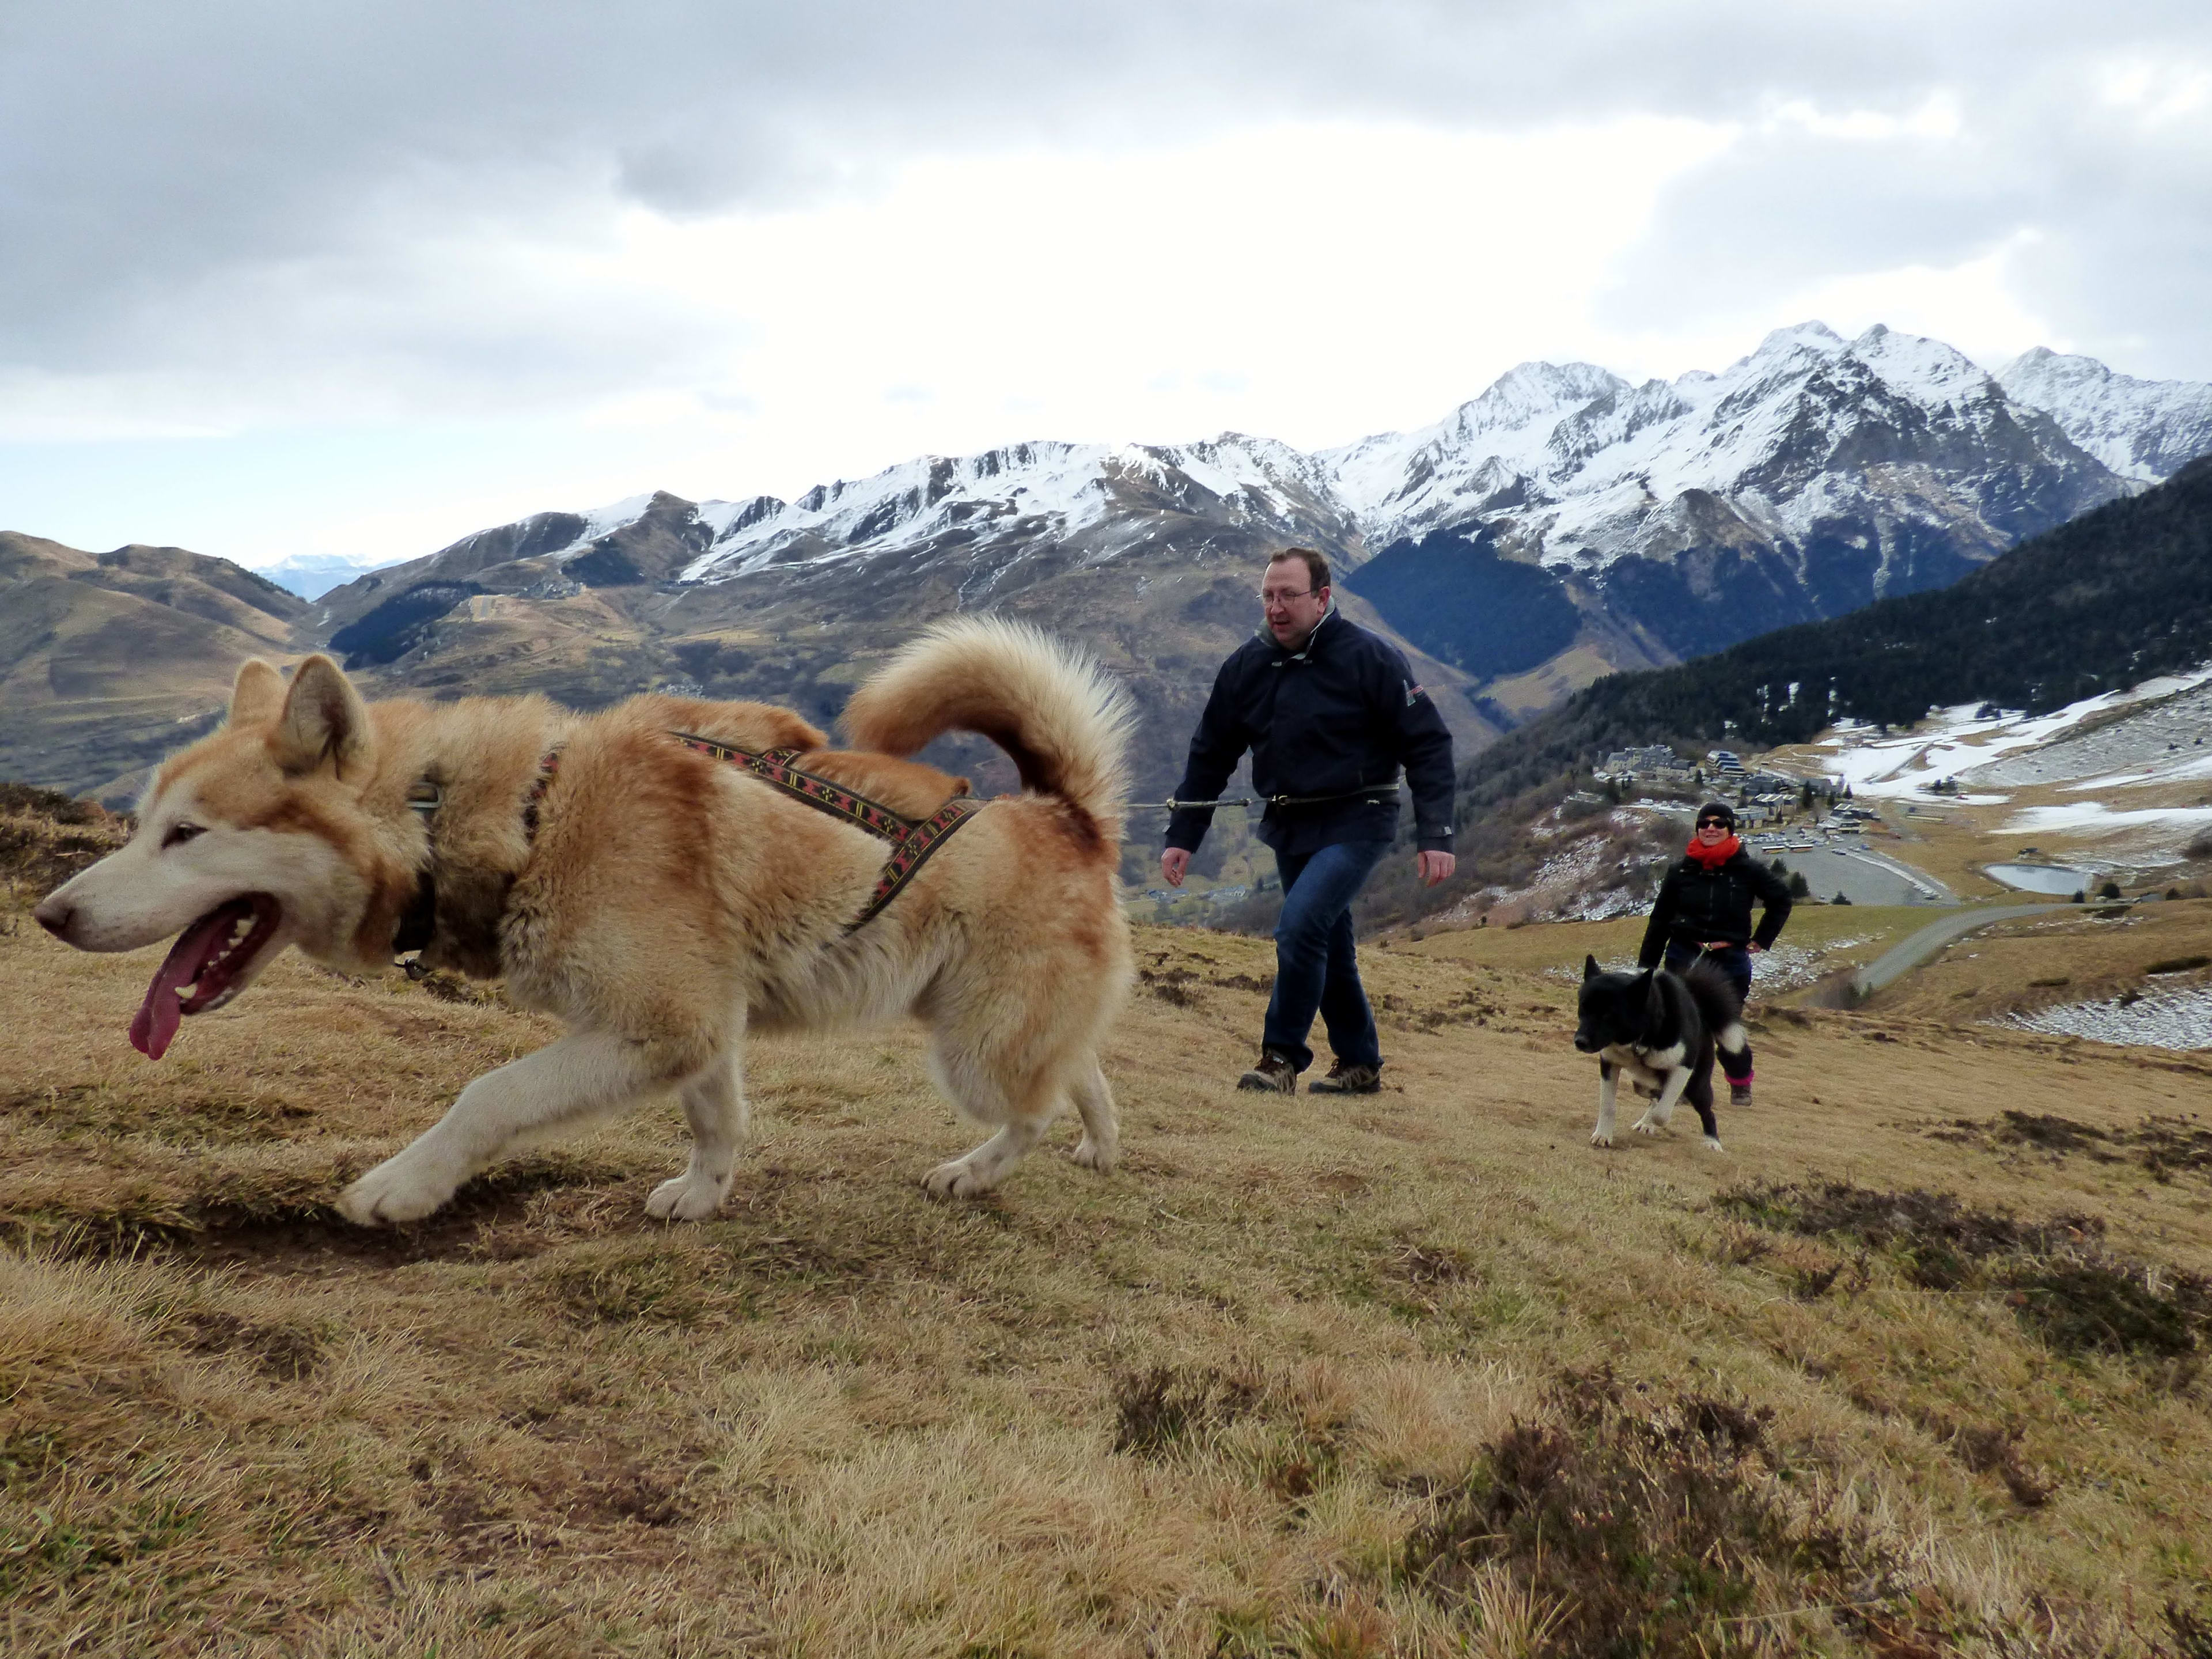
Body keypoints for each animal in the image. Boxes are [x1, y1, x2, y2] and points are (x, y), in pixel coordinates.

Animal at [30, 619, 1141, 1230]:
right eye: (142, 823)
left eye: (187, 834)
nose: (50, 913)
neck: (519, 818)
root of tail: (1066, 813)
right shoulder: (695, 1031)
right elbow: (717, 1121)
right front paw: (703, 1196)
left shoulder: (655, 1024)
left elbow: (486, 1096)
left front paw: (404, 1184)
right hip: (968, 1023)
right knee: (1082, 1069)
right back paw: (1101, 1146)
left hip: (971, 1051)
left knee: (1034, 1105)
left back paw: (976, 1173)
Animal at [1575, 960, 1743, 1159]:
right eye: (1583, 1008)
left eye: (1608, 1014)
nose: (1579, 1042)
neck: (1640, 1039)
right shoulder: (1610, 1064)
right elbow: (1608, 1105)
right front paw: (1603, 1136)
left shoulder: (1683, 1067)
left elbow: (1662, 1114)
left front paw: (1656, 1118)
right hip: (1643, 1083)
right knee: (1654, 1094)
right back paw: (1646, 1122)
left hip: (1696, 1085)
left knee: (1705, 1111)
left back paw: (1712, 1142)